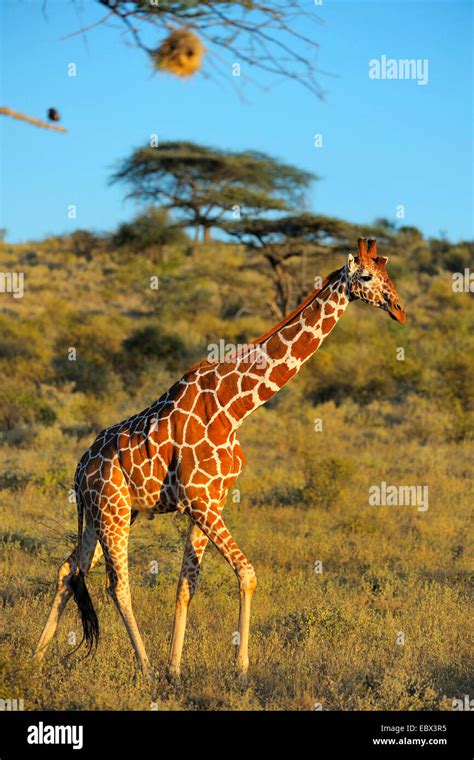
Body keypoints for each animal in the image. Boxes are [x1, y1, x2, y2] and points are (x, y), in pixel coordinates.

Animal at [33, 239, 406, 684]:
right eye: (366, 276)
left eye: (388, 274)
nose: (399, 309)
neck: (236, 407)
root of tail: (78, 469)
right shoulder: (199, 500)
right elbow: (247, 573)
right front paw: (241, 668)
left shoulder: (210, 501)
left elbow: (186, 584)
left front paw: (176, 668)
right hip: (112, 510)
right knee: (116, 584)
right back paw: (144, 666)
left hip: (103, 513)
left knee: (69, 569)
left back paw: (35, 656)